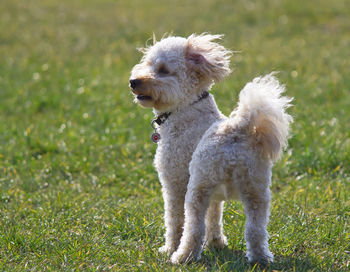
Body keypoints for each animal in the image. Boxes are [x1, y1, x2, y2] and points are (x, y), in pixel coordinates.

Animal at [129, 33, 292, 264]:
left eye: (162, 70)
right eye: (148, 63)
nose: (133, 82)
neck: (186, 107)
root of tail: (236, 129)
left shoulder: (174, 183)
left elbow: (175, 220)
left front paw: (169, 248)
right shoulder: (214, 195)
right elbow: (214, 217)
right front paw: (216, 243)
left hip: (197, 189)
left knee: (193, 227)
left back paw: (182, 256)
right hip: (256, 191)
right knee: (256, 229)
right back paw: (261, 258)